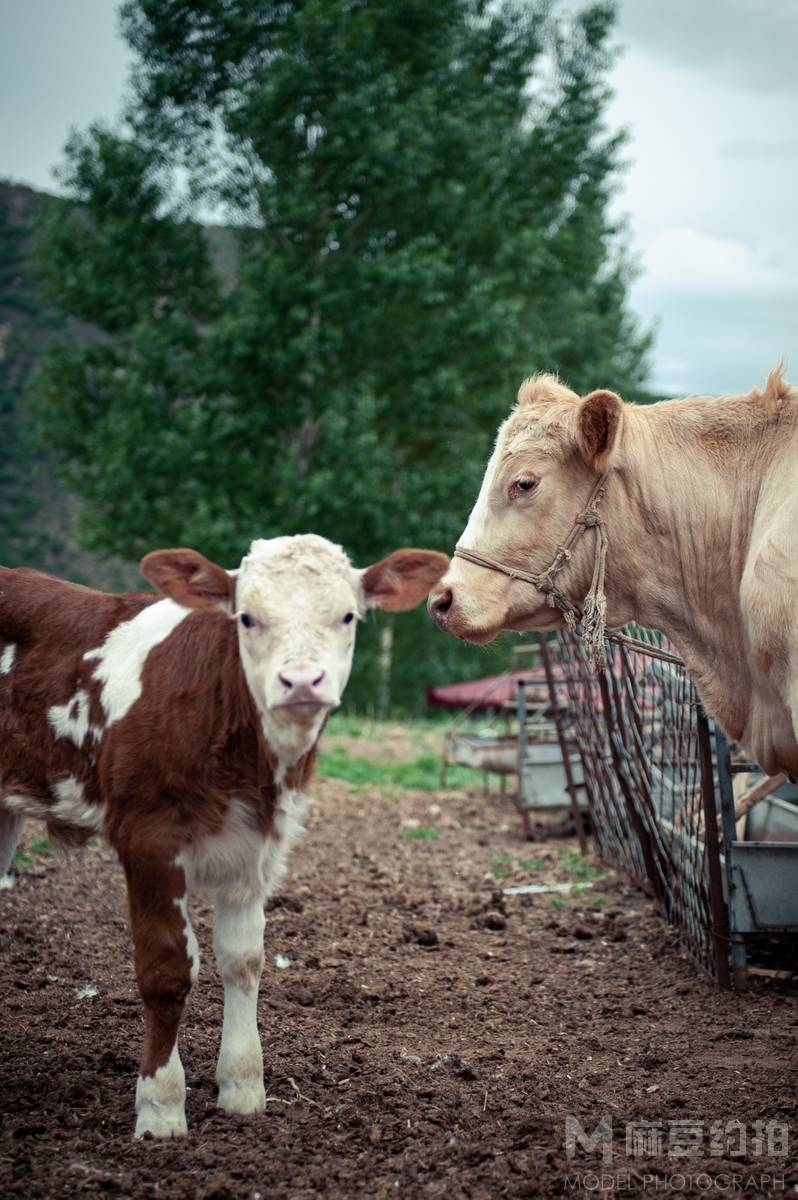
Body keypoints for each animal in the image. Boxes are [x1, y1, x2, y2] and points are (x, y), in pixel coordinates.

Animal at [0, 535, 448, 1132]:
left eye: (347, 615)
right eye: (247, 617)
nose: (301, 682)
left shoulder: (253, 849)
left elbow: (243, 961)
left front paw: (241, 1087)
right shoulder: (147, 838)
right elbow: (166, 970)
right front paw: (160, 1107)